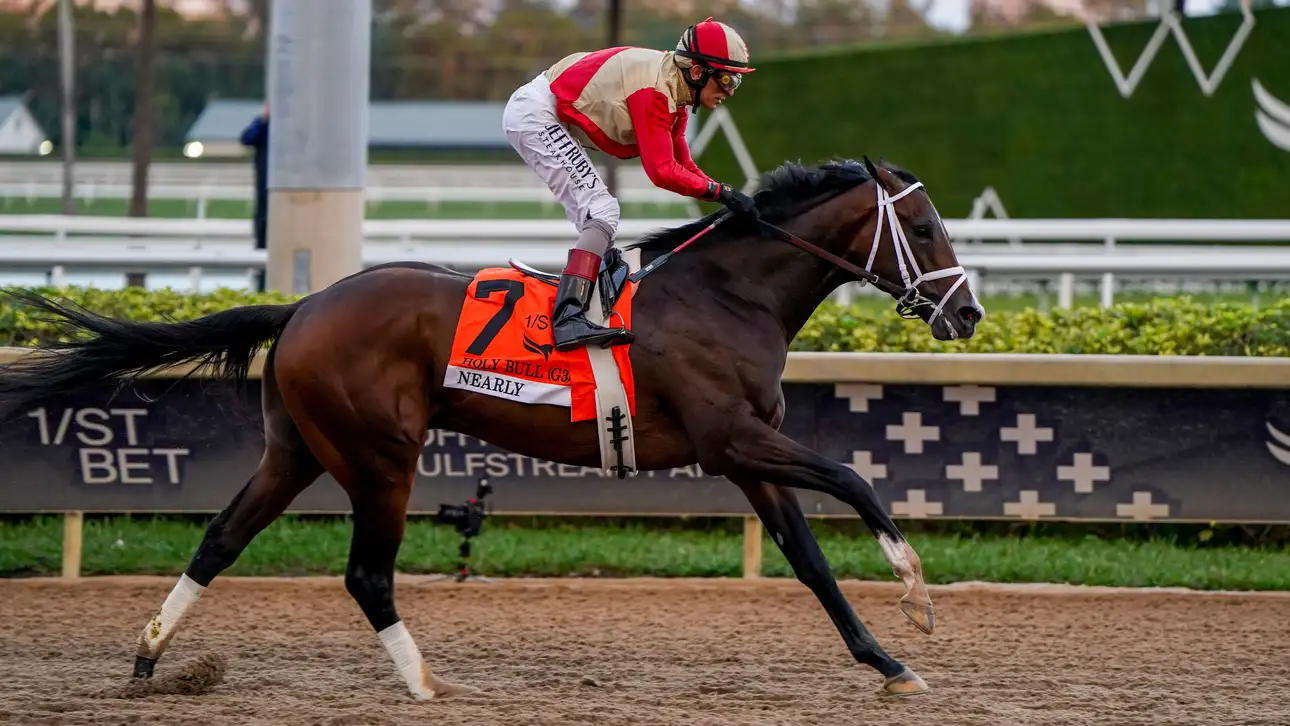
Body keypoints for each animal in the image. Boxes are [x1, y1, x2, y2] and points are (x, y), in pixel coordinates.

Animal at [0, 155, 983, 699]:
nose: (969, 313)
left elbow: (809, 561)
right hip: (380, 456)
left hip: (297, 451)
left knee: (220, 539)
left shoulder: (748, 457)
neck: (726, 295)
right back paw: (425, 683)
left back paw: (147, 659)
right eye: (925, 226)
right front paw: (918, 595)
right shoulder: (731, 440)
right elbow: (856, 478)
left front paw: (889, 664)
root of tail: (304, 304)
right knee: (366, 575)